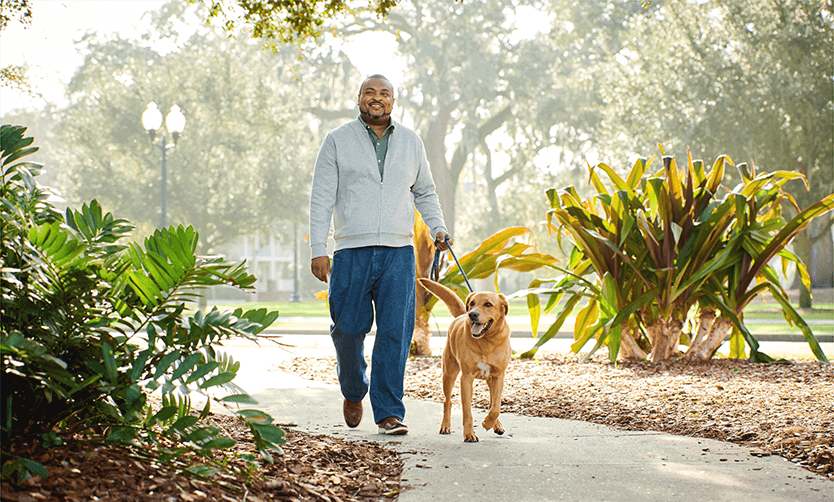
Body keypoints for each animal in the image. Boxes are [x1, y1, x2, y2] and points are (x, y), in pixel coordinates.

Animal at [416, 278, 508, 444]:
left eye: (488, 304)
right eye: (472, 303)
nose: (472, 314)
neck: (486, 342)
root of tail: (461, 315)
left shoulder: (498, 376)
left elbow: (496, 406)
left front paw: (488, 423)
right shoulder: (466, 378)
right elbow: (467, 411)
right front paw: (469, 434)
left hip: (490, 379)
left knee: (492, 402)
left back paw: (496, 424)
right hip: (449, 374)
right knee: (447, 402)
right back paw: (445, 426)